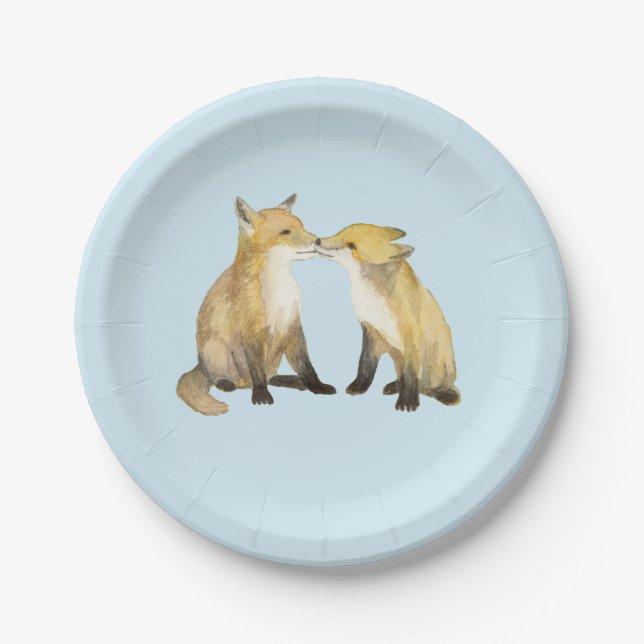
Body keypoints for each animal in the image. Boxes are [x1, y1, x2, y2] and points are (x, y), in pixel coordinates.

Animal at [177, 194, 336, 416]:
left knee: (269, 376)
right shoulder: (252, 331)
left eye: (302, 226)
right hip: (215, 350)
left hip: (274, 356)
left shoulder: (292, 326)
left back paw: (290, 381)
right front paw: (261, 396)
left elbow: (306, 366)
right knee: (230, 379)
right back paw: (227, 383)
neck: (278, 293)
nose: (318, 240)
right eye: (285, 232)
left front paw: (317, 386)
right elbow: (257, 371)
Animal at [315, 224, 460, 412]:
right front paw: (359, 387)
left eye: (352, 245)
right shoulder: (371, 330)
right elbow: (365, 365)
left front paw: (407, 402)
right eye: (340, 232)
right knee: (407, 381)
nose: (317, 241)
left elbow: (410, 374)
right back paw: (395, 386)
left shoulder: (410, 333)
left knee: (430, 387)